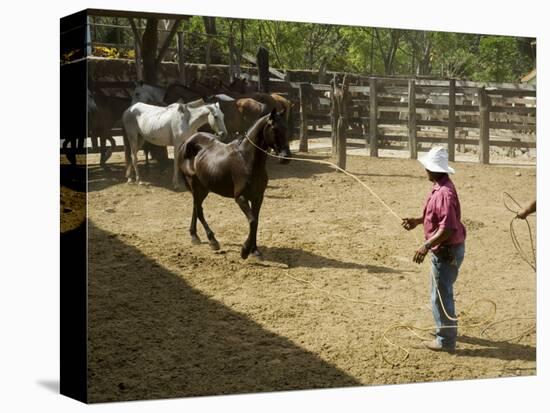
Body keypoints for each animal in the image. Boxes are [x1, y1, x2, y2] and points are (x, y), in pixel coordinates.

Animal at [181, 108, 294, 260]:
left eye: (286, 128)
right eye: (274, 129)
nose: (286, 157)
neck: (247, 160)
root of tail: (188, 141)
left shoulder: (258, 197)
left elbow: (256, 221)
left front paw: (255, 251)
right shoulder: (240, 198)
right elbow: (252, 221)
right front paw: (245, 250)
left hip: (204, 188)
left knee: (195, 208)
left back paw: (194, 236)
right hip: (196, 186)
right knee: (199, 210)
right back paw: (212, 241)